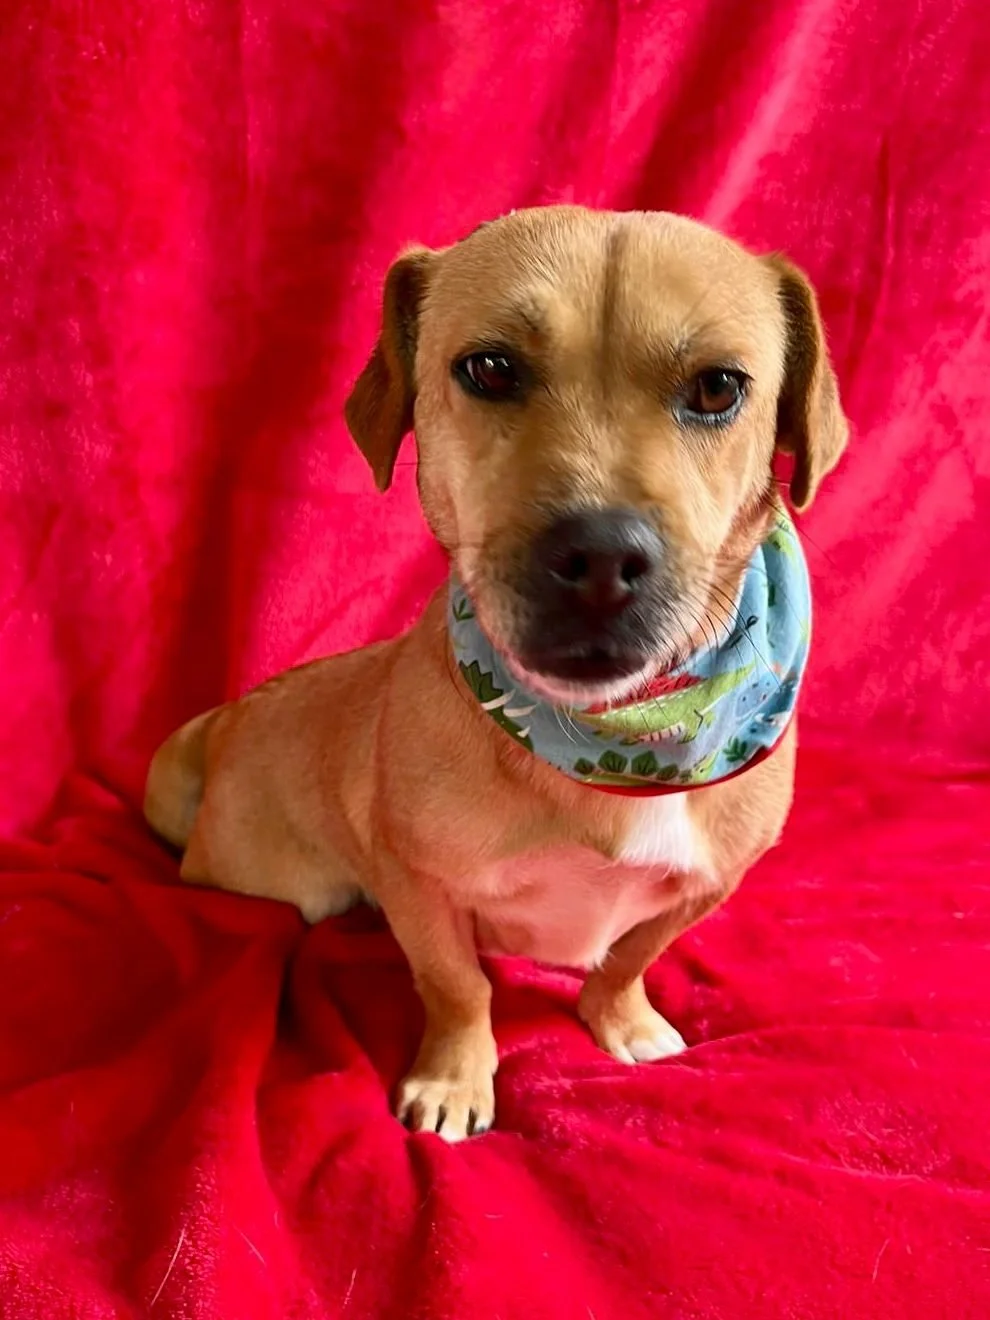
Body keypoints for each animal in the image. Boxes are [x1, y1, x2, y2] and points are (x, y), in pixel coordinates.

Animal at [145, 206, 847, 1141]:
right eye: (489, 368)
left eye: (716, 389)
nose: (599, 555)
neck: (612, 741)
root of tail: (223, 727)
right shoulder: (415, 880)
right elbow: (457, 984)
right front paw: (455, 1077)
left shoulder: (709, 884)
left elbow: (630, 956)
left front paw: (621, 1018)